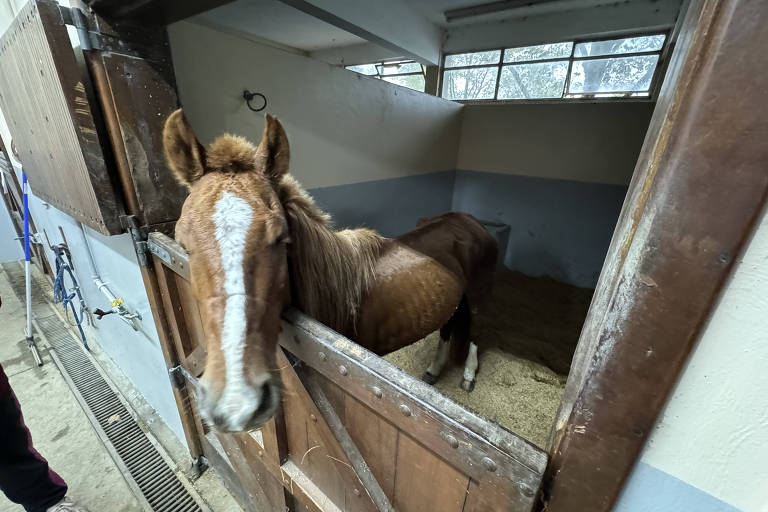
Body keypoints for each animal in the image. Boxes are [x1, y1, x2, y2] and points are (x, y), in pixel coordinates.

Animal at [164, 111, 498, 432]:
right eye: (184, 243)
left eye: (280, 238)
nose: (236, 402)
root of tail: (471, 222)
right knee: (448, 326)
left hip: (478, 297)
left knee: (476, 333)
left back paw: (468, 376)